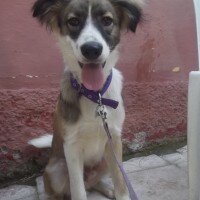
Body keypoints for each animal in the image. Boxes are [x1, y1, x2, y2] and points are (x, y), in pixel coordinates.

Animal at [28, 0, 143, 200]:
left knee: (94, 183)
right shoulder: (72, 147)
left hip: (106, 158)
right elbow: (78, 190)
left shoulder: (114, 139)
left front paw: (119, 192)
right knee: (63, 191)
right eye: (74, 21)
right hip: (55, 170)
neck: (95, 95)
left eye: (107, 20)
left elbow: (121, 182)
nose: (91, 49)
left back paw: (108, 190)